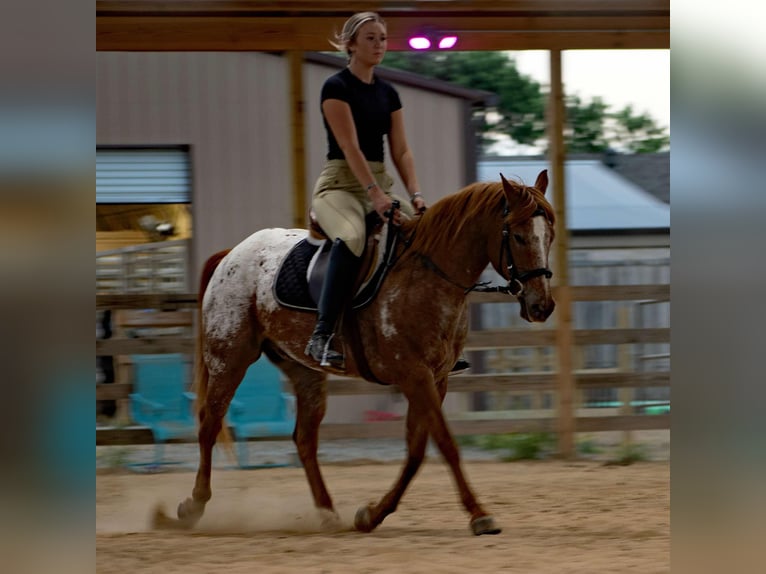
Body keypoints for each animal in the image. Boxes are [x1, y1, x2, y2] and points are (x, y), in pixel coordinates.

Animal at [157, 170, 556, 536]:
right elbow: (445, 442)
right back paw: (192, 507)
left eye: (548, 236)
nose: (543, 306)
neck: (428, 273)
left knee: (304, 439)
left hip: (304, 370)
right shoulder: (414, 375)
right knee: (209, 423)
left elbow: (416, 449)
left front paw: (372, 514)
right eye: (518, 236)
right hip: (229, 357)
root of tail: (231, 254)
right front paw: (479, 514)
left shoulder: (435, 378)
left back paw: (328, 513)